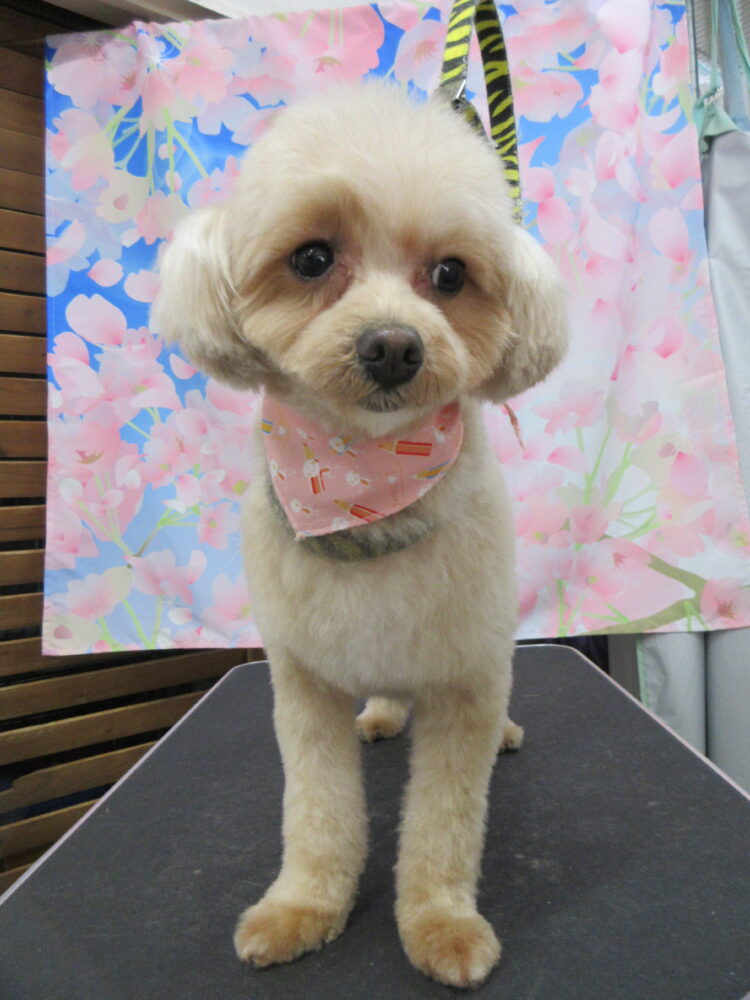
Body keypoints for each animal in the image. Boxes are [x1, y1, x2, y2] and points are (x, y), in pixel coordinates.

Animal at [152, 81, 566, 989]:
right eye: (312, 259)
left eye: (449, 275)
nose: (393, 345)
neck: (362, 485)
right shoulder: (302, 683)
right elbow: (317, 813)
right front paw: (303, 907)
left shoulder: (466, 682)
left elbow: (446, 822)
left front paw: (441, 923)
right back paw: (377, 713)